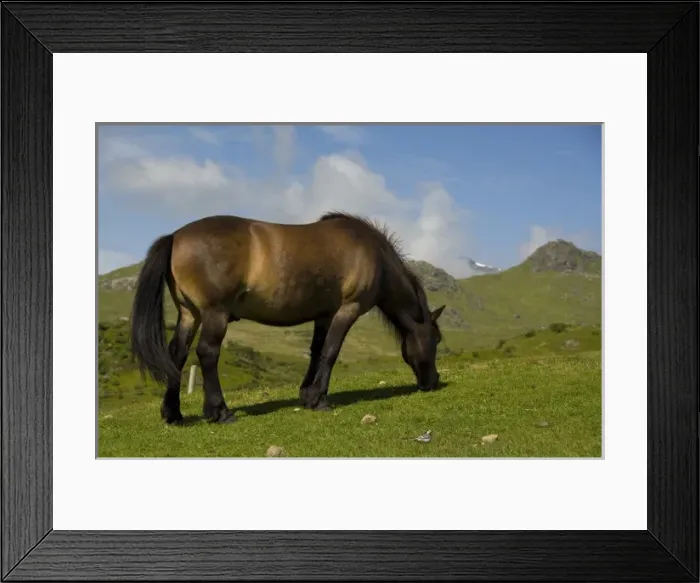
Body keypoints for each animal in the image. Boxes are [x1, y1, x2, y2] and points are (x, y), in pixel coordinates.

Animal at [129, 211, 446, 425]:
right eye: (437, 339)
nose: (433, 382)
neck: (372, 253)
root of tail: (175, 236)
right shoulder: (348, 309)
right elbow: (331, 352)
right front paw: (320, 399)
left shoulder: (324, 315)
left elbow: (317, 352)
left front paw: (307, 395)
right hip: (213, 314)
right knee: (207, 353)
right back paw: (220, 411)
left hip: (189, 315)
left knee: (177, 355)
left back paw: (173, 413)